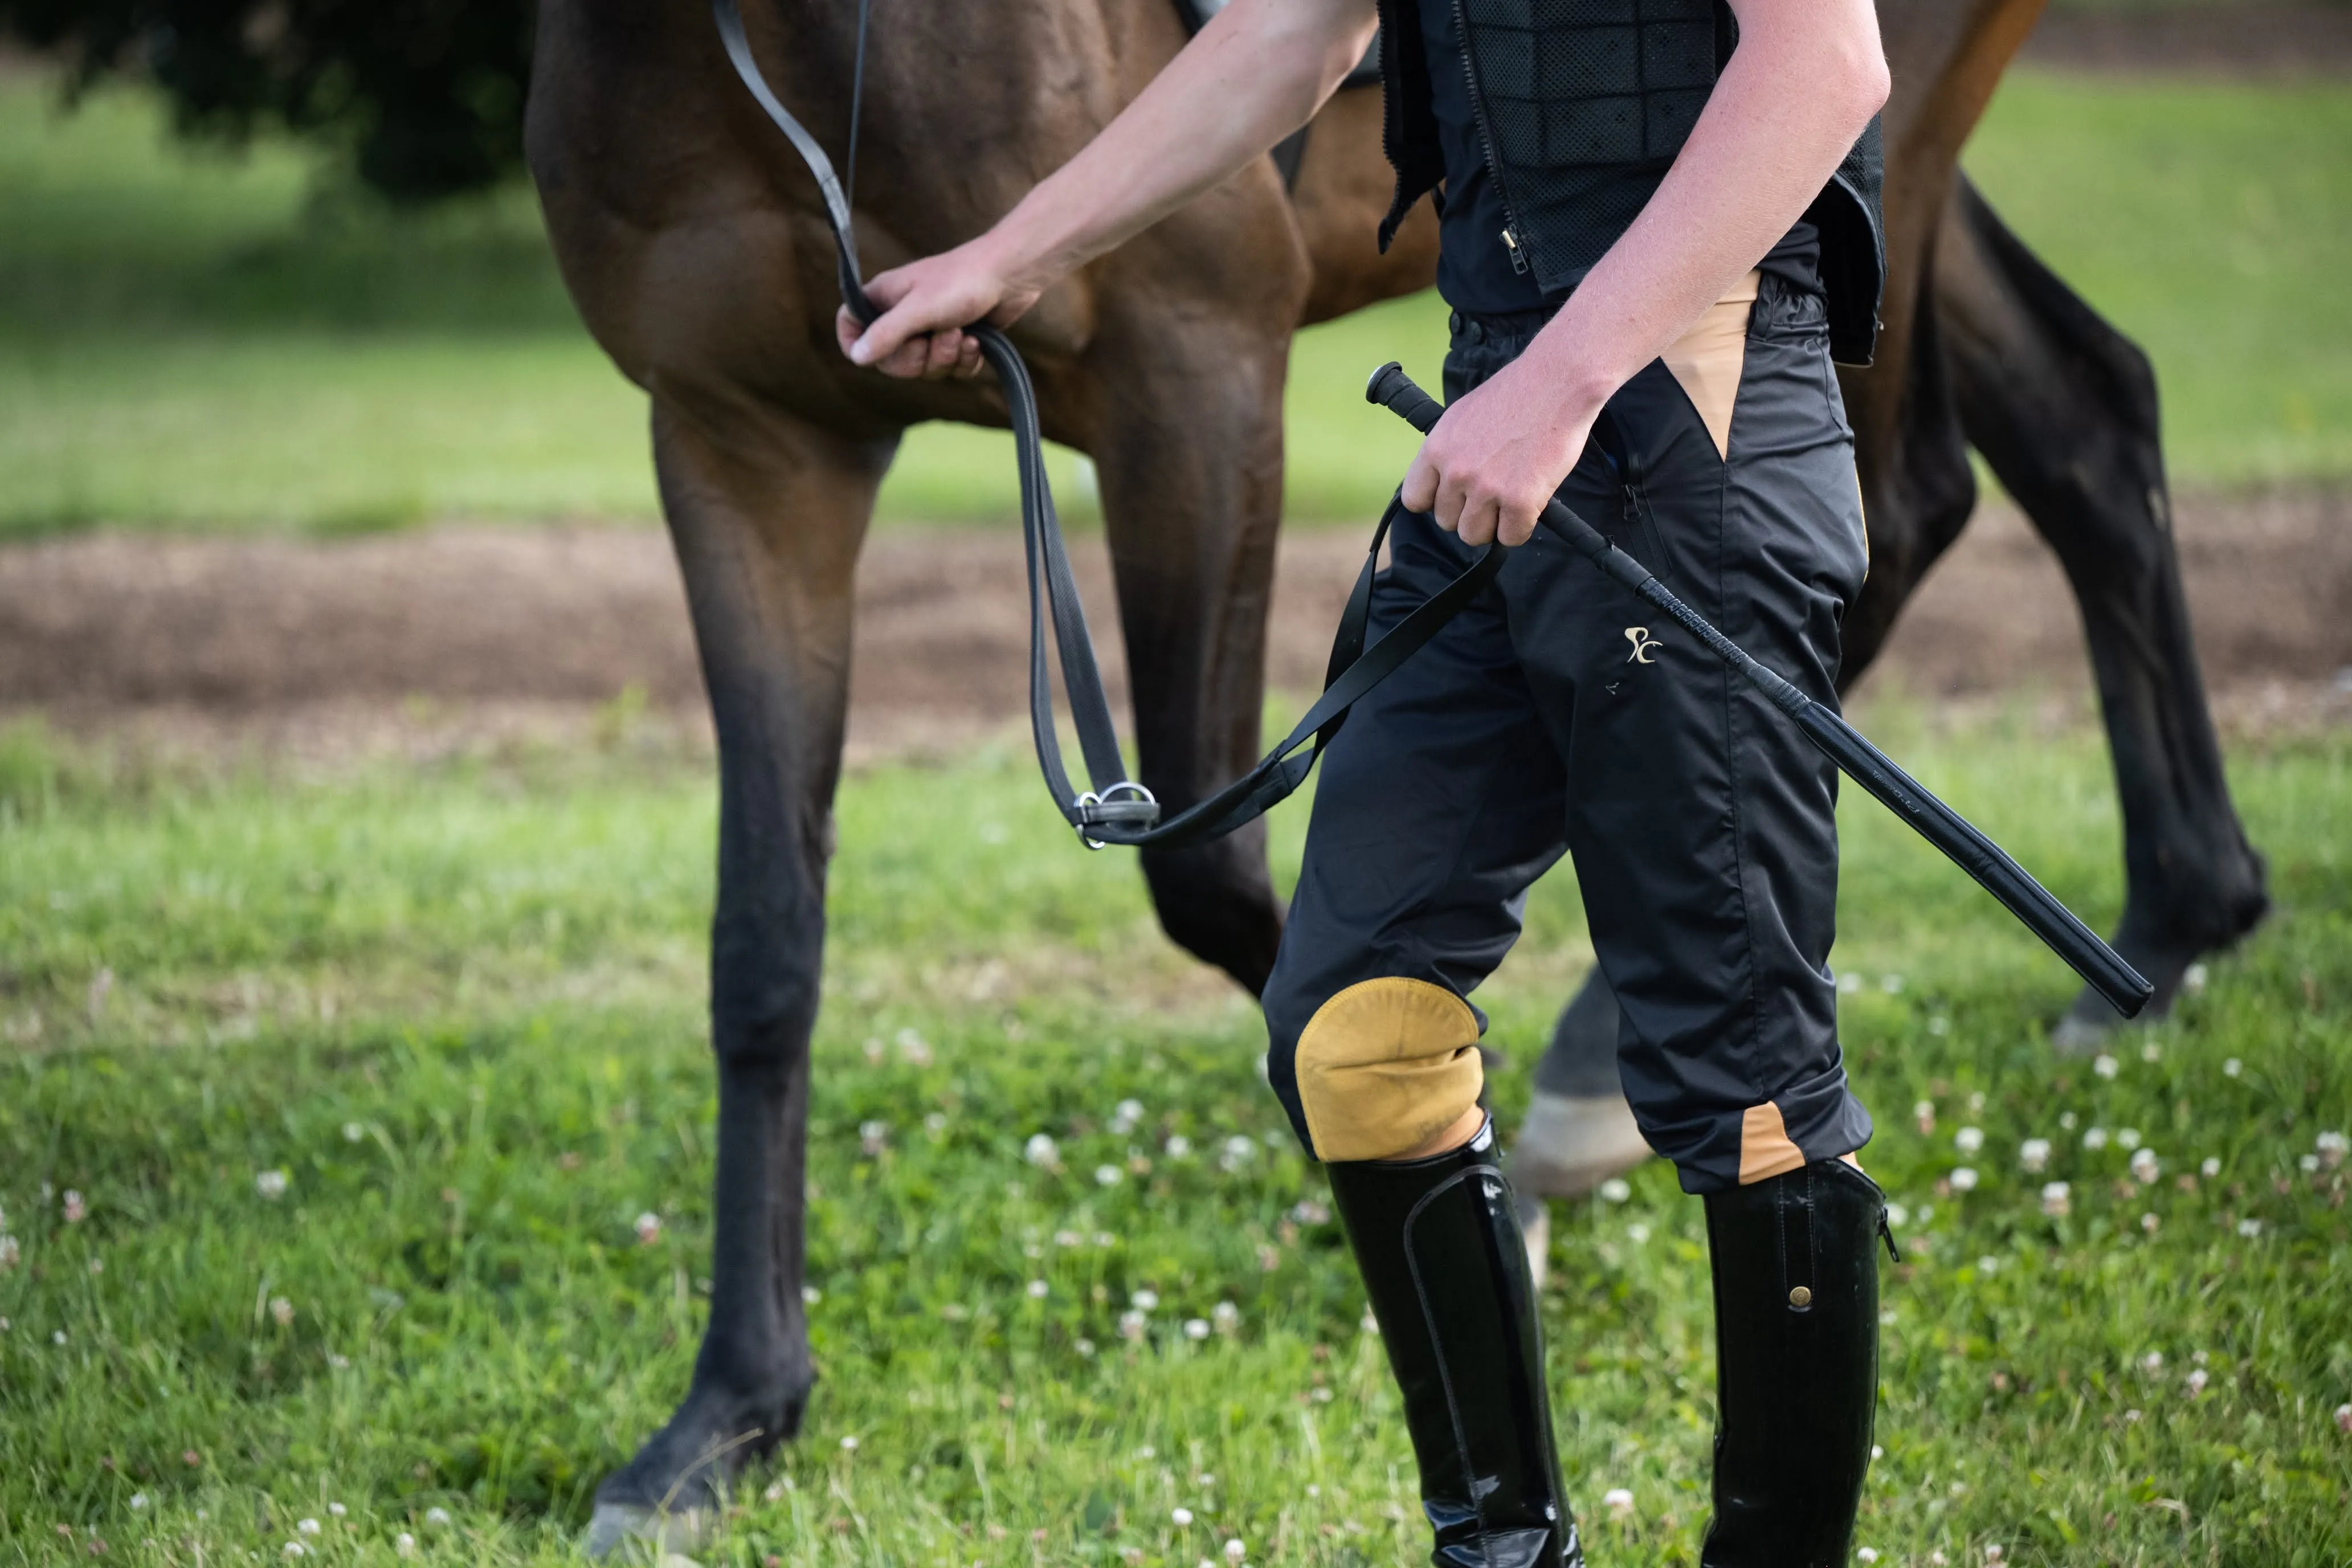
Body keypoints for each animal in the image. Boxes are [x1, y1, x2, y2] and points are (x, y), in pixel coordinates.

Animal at [524, 0, 2267, 1542]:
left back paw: (1600, 1080)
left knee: (1898, 515)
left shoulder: (1195, 378)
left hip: (1866, 156)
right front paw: (727, 1418)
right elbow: (767, 946)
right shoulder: (744, 440)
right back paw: (2174, 923)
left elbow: (1219, 883)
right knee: (2085, 414)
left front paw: (1478, 1213)